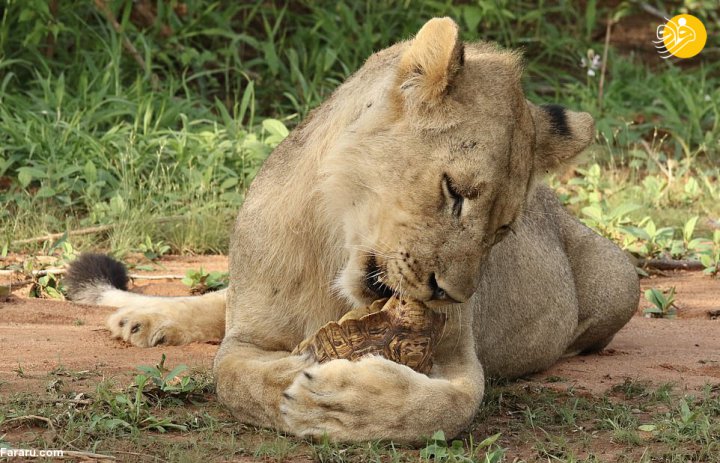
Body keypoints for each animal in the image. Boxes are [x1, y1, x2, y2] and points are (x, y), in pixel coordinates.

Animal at [67, 18, 640, 444]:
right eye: (454, 191)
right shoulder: (247, 336)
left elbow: (447, 406)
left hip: (625, 281)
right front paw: (297, 378)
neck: (334, 251)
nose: (451, 294)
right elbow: (234, 377)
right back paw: (145, 317)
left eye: (502, 230)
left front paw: (337, 402)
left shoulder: (457, 353)